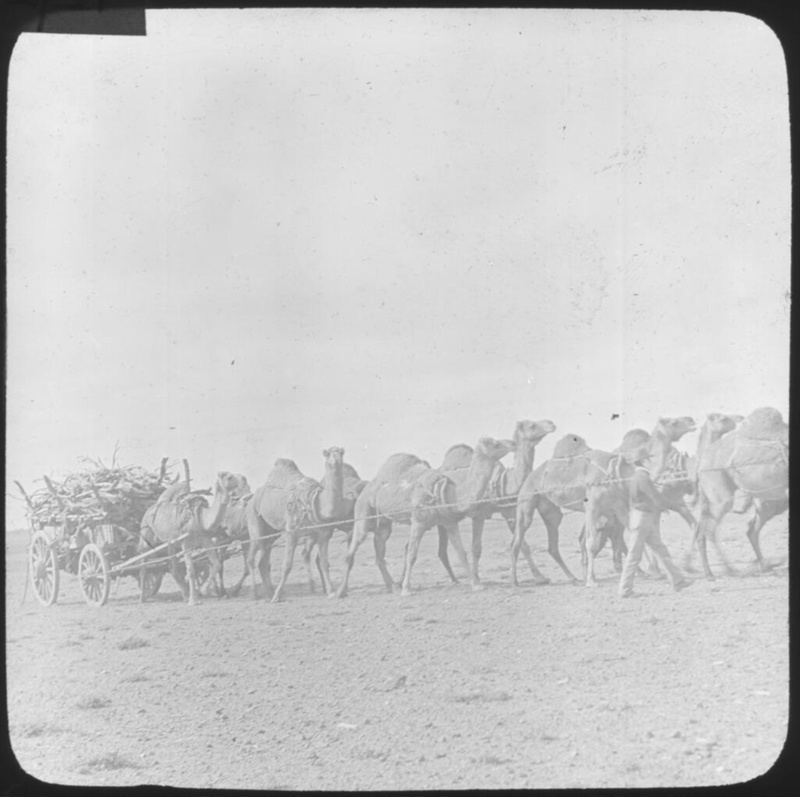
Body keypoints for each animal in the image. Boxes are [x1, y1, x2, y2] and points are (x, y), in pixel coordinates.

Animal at [138, 472, 230, 604]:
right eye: (227, 477)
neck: (199, 516)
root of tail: (148, 511)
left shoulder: (206, 540)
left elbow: (216, 564)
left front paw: (202, 591)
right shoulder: (185, 543)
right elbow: (191, 570)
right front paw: (193, 600)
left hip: (168, 544)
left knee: (172, 567)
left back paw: (184, 594)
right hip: (145, 540)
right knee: (143, 567)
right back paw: (142, 598)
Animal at [245, 448, 348, 604]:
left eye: (341, 453)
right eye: (328, 454)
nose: (336, 460)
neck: (313, 501)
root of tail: (251, 498)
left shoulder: (323, 534)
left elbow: (325, 563)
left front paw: (331, 592)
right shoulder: (291, 533)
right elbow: (287, 566)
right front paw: (277, 596)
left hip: (271, 534)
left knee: (263, 562)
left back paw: (268, 593)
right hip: (254, 520)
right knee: (252, 557)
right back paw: (256, 594)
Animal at [332, 436, 516, 596]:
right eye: (495, 443)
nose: (513, 442)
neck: (445, 491)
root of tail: (368, 486)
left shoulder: (449, 523)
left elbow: (461, 552)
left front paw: (476, 585)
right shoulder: (418, 521)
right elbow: (412, 555)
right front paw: (407, 589)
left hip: (383, 524)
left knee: (379, 553)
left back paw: (392, 586)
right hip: (363, 511)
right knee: (353, 548)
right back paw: (340, 592)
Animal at [434, 420, 552, 580]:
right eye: (532, 425)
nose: (551, 424)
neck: (503, 481)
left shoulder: (509, 512)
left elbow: (523, 545)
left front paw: (540, 577)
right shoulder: (479, 515)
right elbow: (476, 548)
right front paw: (476, 578)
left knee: (441, 549)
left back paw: (454, 579)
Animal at [692, 408, 788, 576]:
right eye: (723, 419)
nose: (739, 418)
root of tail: (700, 465)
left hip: (771, 501)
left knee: (750, 529)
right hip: (721, 494)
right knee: (710, 530)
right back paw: (725, 571)